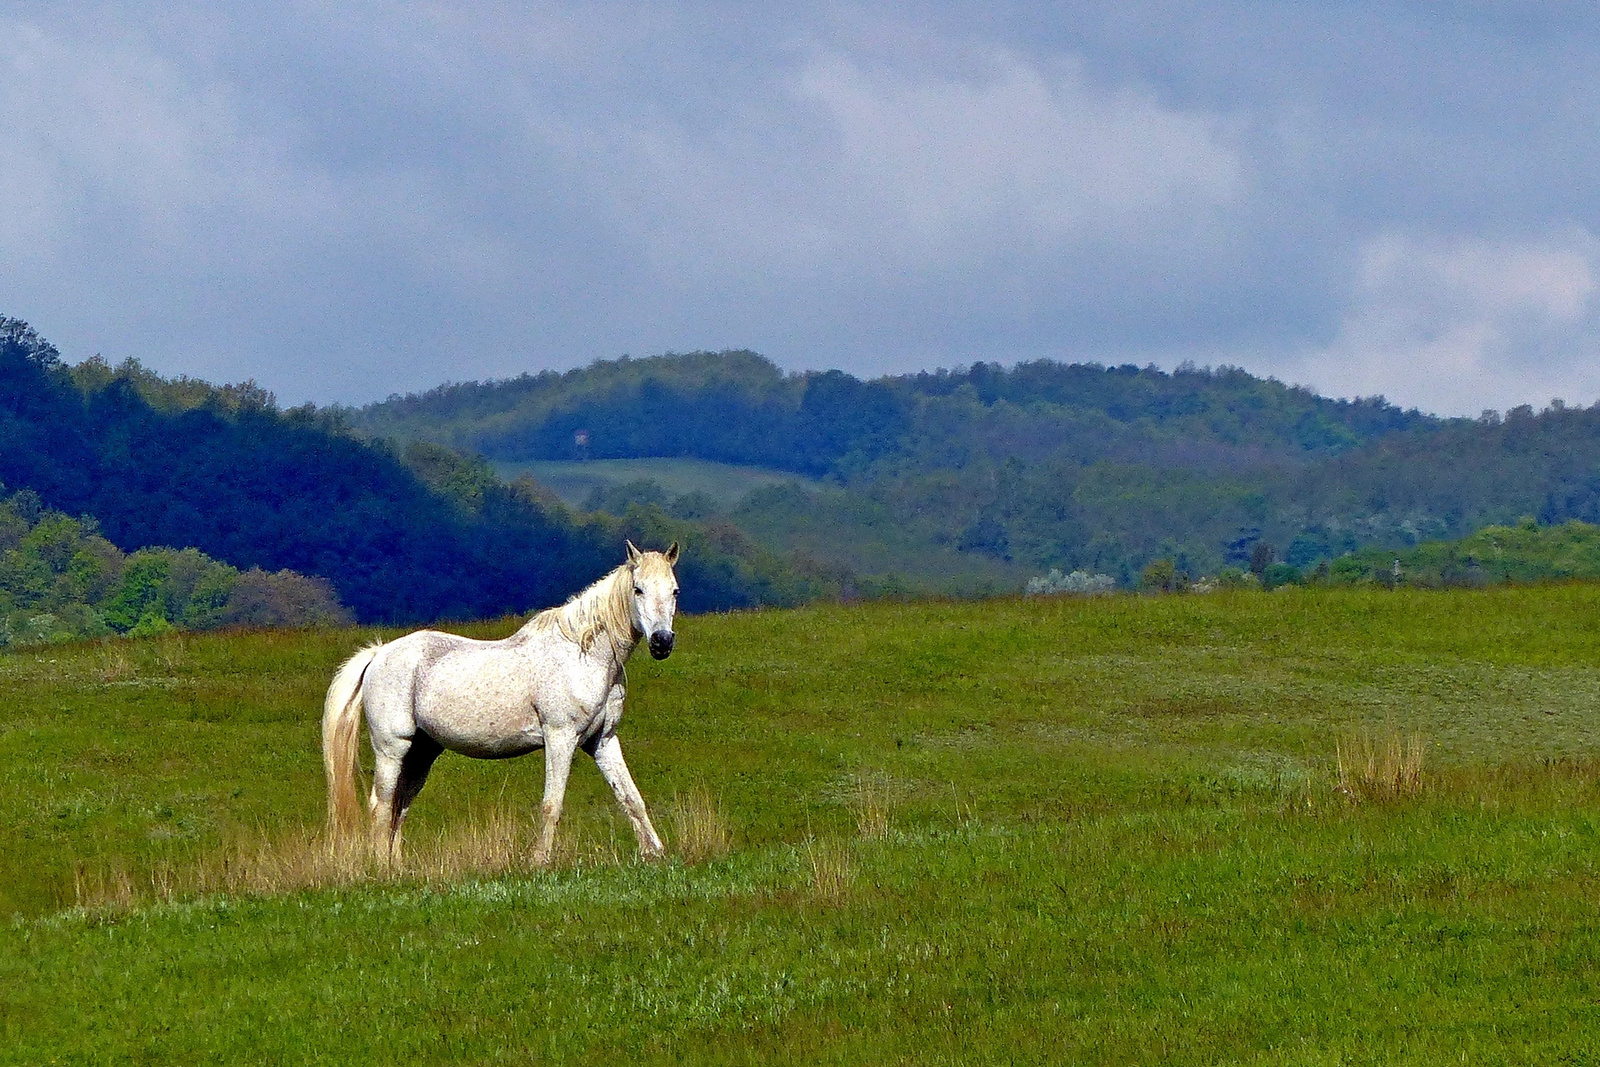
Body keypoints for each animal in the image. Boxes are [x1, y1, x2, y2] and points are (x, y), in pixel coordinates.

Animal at [321, 543, 678, 870]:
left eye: (674, 590)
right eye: (638, 589)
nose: (662, 642)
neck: (583, 654)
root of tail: (379, 654)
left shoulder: (602, 741)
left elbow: (631, 798)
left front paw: (655, 853)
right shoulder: (560, 738)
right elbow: (552, 804)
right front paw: (538, 861)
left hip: (421, 752)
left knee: (400, 804)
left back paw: (396, 866)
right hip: (392, 748)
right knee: (381, 805)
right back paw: (382, 867)